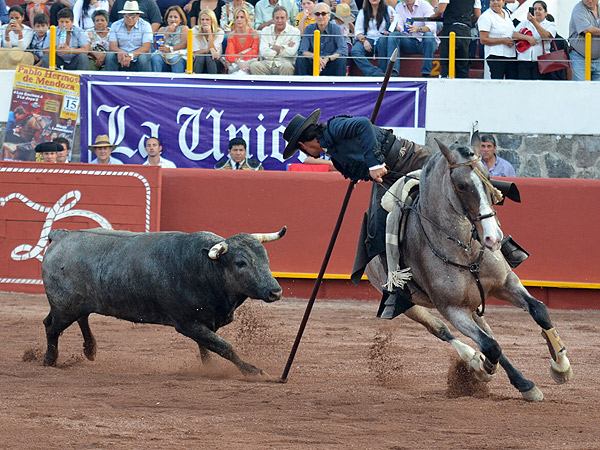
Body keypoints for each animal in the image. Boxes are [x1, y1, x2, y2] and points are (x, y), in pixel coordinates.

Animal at [41, 225, 288, 376]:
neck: (205, 267)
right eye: (240, 263)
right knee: (52, 327)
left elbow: (208, 347)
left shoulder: (205, 321)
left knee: (77, 318)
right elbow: (224, 347)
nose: (275, 291)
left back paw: (90, 349)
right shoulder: (187, 323)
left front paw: (210, 367)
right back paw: (50, 359)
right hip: (64, 307)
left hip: (74, 305)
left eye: (265, 257)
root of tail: (62, 235)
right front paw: (253, 371)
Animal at [368, 141, 576, 400]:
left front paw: (561, 365)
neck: (464, 250)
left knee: (488, 333)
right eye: (461, 185)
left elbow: (539, 310)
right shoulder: (452, 308)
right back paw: (475, 360)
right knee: (442, 329)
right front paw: (481, 367)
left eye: (488, 177)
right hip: (410, 304)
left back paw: (523, 383)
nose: (492, 237)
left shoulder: (506, 282)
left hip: (473, 303)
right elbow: (489, 346)